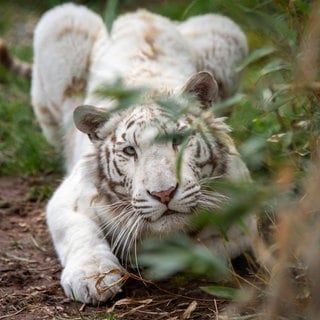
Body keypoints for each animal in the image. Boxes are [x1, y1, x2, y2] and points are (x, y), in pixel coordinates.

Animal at [25, 3, 256, 304]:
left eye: (178, 140)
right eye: (130, 150)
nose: (164, 194)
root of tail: (141, 13)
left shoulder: (243, 210)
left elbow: (211, 247)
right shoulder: (69, 198)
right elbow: (80, 232)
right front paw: (92, 278)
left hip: (225, 30)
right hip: (58, 22)